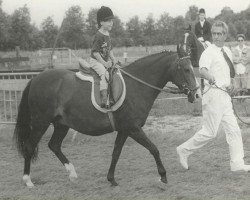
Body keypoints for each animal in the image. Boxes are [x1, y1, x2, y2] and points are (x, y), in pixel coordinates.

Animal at [14, 45, 200, 188]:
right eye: (186, 69)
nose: (196, 95)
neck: (136, 86)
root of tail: (36, 78)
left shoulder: (124, 130)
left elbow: (116, 153)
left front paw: (111, 179)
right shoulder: (133, 129)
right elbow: (154, 149)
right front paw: (163, 176)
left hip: (61, 124)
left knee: (54, 145)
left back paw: (72, 174)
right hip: (40, 122)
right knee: (29, 147)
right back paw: (28, 181)